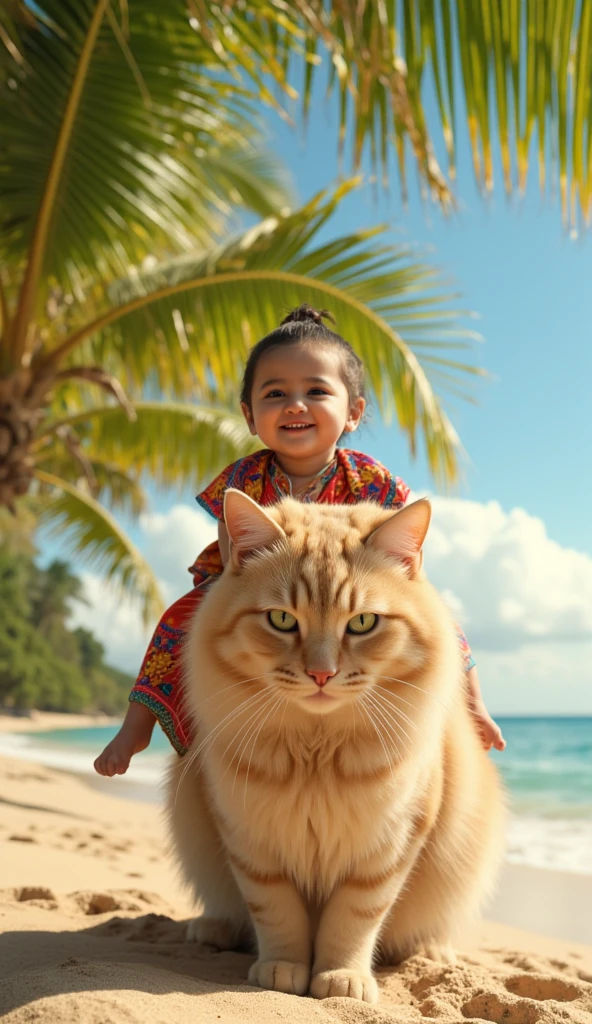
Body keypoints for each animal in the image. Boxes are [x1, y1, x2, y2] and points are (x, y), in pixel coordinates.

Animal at [167, 491, 503, 1003]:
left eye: (362, 623)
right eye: (282, 620)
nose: (321, 674)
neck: (316, 750)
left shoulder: (388, 847)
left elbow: (353, 920)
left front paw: (342, 979)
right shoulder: (249, 840)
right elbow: (277, 913)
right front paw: (283, 969)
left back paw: (431, 952)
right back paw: (212, 930)